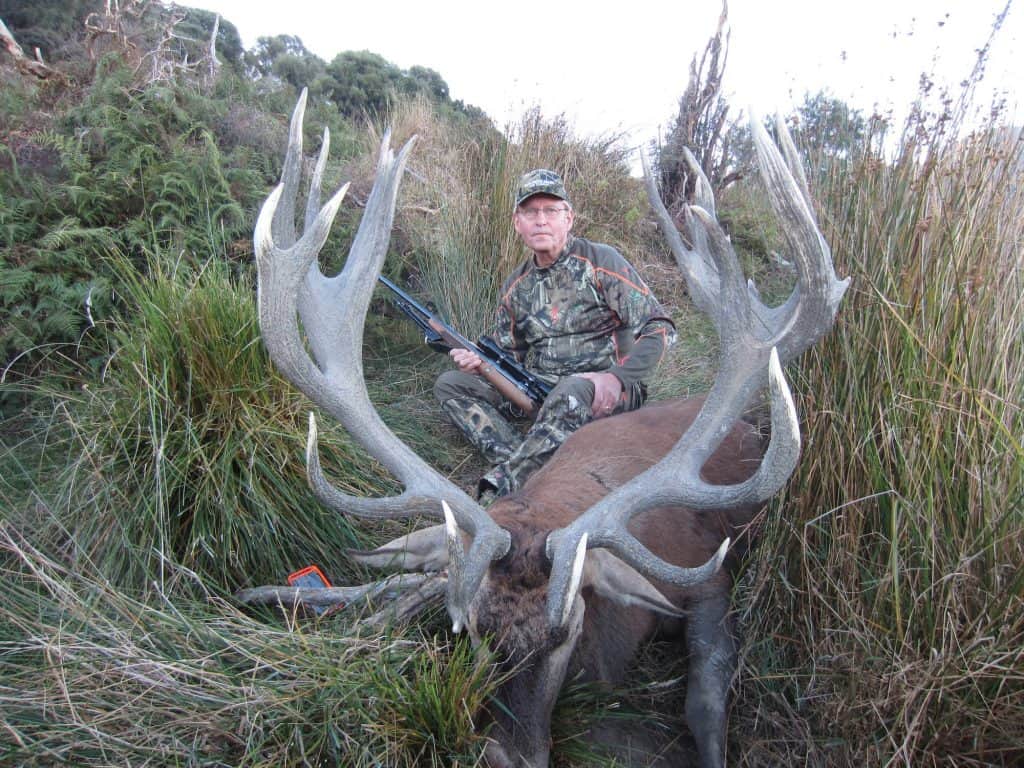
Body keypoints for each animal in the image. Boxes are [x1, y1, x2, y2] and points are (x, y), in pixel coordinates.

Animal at [239, 89, 849, 768]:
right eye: (469, 628)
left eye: (569, 630)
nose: (505, 754)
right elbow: (406, 578)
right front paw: (297, 598)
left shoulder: (707, 574)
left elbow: (707, 699)